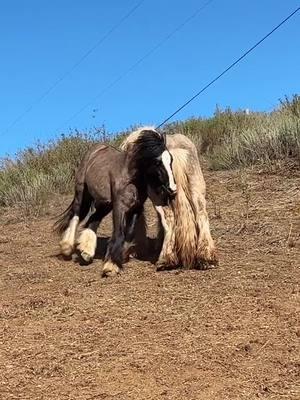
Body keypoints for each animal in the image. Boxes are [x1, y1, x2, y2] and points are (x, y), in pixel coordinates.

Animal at [54, 130, 176, 276]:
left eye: (171, 160)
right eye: (157, 162)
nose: (172, 189)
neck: (130, 178)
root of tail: (95, 149)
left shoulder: (136, 208)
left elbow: (129, 233)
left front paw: (118, 258)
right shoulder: (119, 206)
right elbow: (119, 233)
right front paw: (111, 266)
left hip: (105, 203)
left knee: (93, 220)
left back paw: (86, 252)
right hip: (81, 192)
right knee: (76, 215)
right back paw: (67, 248)